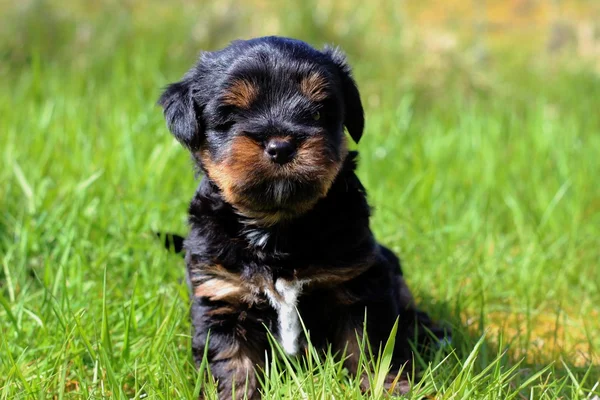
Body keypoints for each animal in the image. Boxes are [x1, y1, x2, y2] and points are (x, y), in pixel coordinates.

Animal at [157, 36, 448, 398]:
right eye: (231, 115)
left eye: (318, 111)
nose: (281, 145)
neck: (277, 228)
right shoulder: (222, 293)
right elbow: (231, 361)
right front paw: (235, 393)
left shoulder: (359, 281)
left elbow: (372, 346)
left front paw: (388, 388)